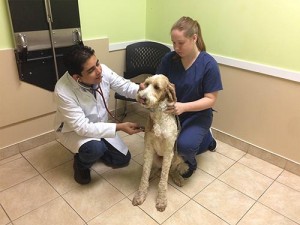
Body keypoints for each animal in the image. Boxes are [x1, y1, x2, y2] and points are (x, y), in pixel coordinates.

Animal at [133, 74, 189, 212]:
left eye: (157, 87)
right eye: (146, 84)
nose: (142, 97)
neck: (158, 115)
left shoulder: (169, 152)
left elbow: (163, 180)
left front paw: (161, 200)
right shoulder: (148, 148)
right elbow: (144, 175)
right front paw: (141, 194)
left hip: (177, 156)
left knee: (171, 170)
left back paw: (177, 178)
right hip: (154, 157)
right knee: (155, 168)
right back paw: (152, 173)